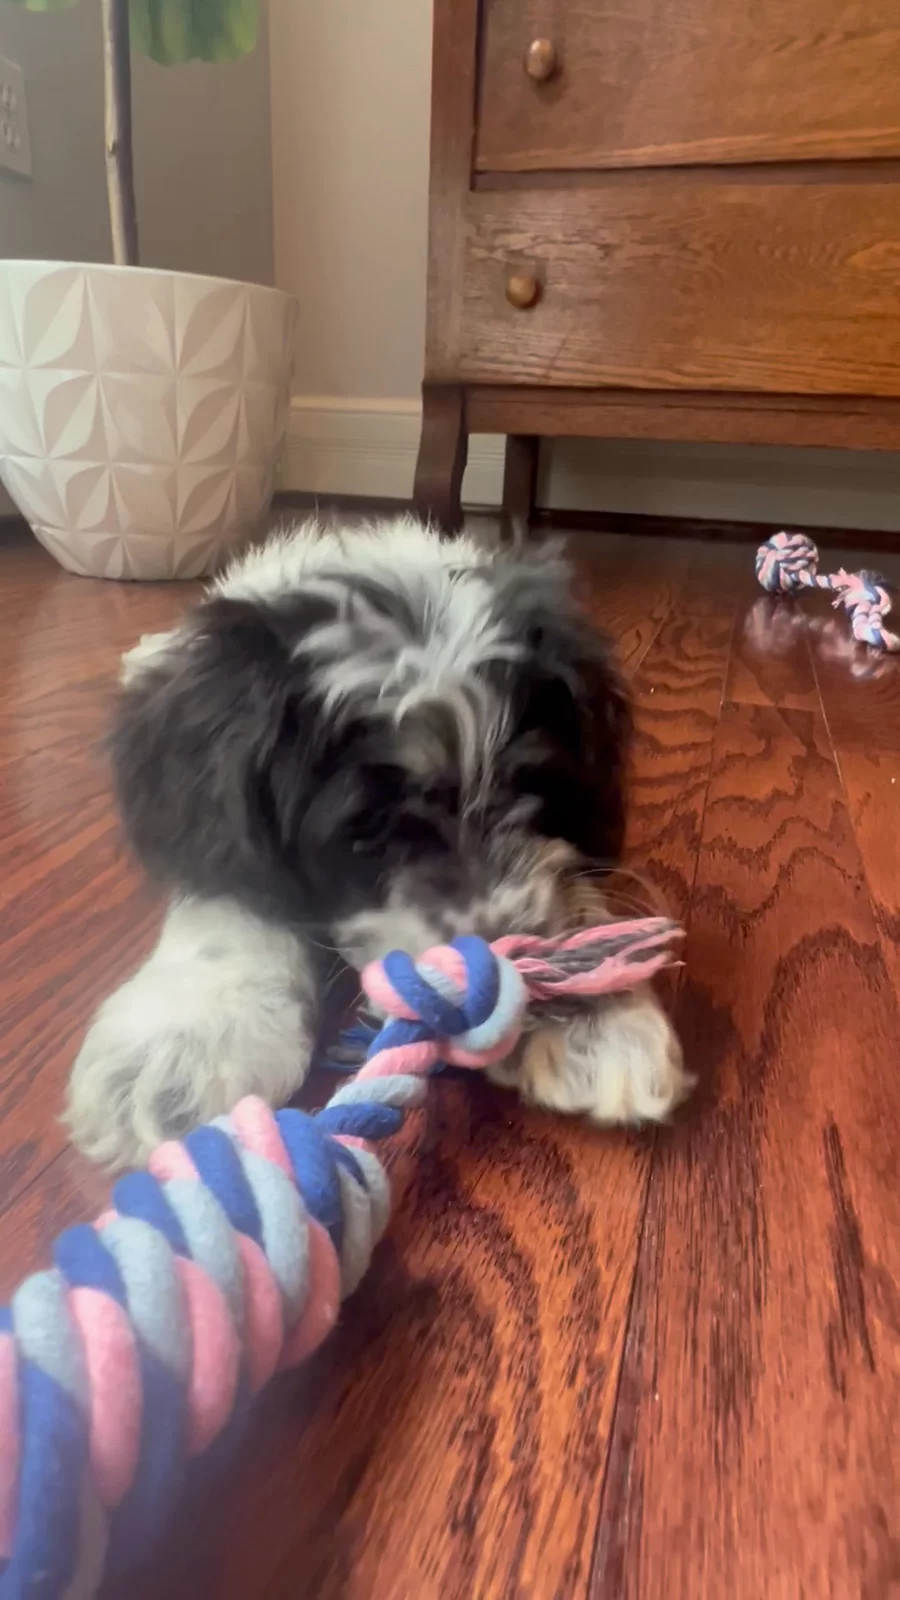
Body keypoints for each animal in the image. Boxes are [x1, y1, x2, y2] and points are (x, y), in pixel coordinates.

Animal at [66, 517, 691, 1167]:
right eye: (369, 831)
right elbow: (233, 900)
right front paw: (182, 1042)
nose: (502, 969)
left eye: (536, 788)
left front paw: (599, 1013)